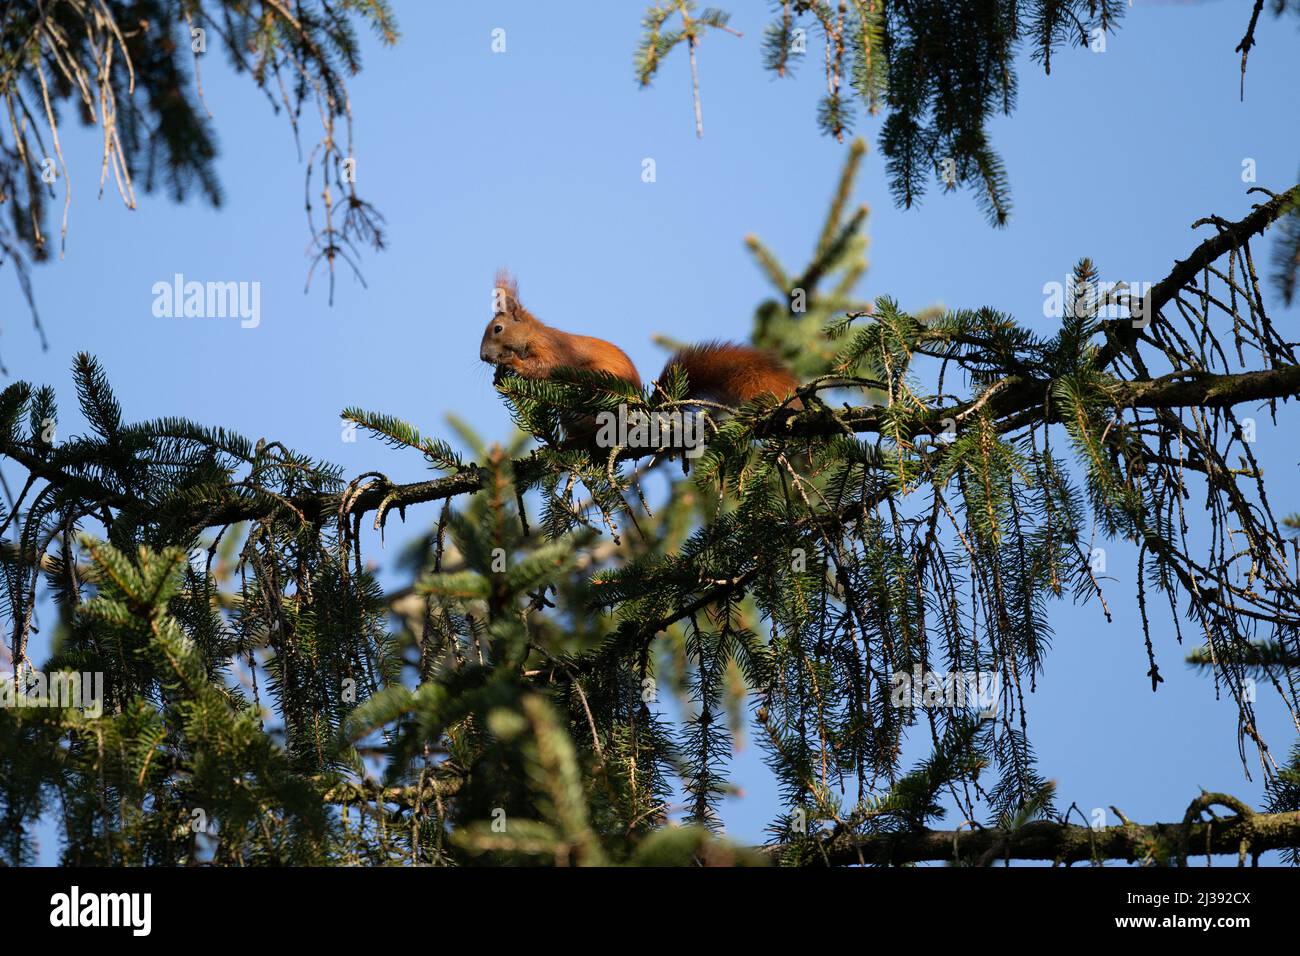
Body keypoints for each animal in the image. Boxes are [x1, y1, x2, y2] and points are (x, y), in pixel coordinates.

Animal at [483, 270, 795, 405]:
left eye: (497, 329)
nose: (483, 357)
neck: (532, 335)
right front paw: (498, 375)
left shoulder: (552, 349)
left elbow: (544, 367)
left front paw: (512, 364)